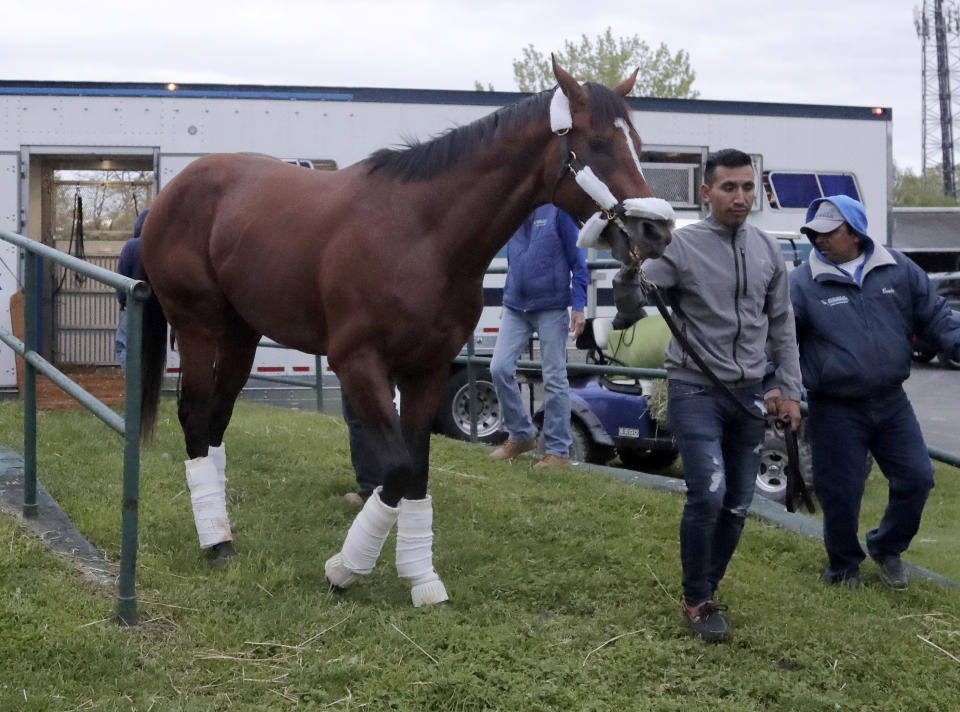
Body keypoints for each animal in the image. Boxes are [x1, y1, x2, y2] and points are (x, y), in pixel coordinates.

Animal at [141, 59, 676, 608]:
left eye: (637, 142)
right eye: (598, 144)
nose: (657, 231)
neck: (420, 233)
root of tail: (177, 188)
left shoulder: (428, 368)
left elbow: (416, 468)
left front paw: (420, 577)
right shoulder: (357, 363)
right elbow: (397, 467)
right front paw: (345, 568)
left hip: (241, 335)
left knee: (216, 421)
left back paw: (222, 529)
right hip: (198, 325)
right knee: (195, 417)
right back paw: (216, 542)